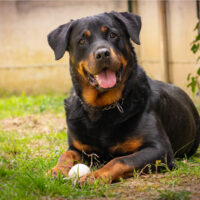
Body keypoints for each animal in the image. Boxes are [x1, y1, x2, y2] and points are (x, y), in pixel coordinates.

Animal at [47, 11, 200, 184]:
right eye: (82, 41)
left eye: (113, 35)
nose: (102, 53)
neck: (102, 108)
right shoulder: (78, 148)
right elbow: (66, 154)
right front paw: (56, 170)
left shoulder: (160, 149)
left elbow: (120, 160)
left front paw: (94, 176)